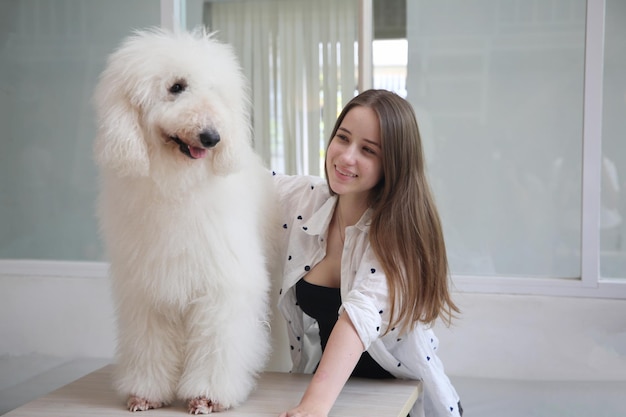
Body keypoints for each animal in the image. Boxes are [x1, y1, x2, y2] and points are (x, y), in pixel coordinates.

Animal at [94, 28, 274, 412]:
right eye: (177, 86)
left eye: (215, 91)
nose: (212, 137)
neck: (179, 184)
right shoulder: (147, 291)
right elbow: (149, 344)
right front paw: (145, 394)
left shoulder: (222, 287)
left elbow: (217, 343)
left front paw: (207, 397)